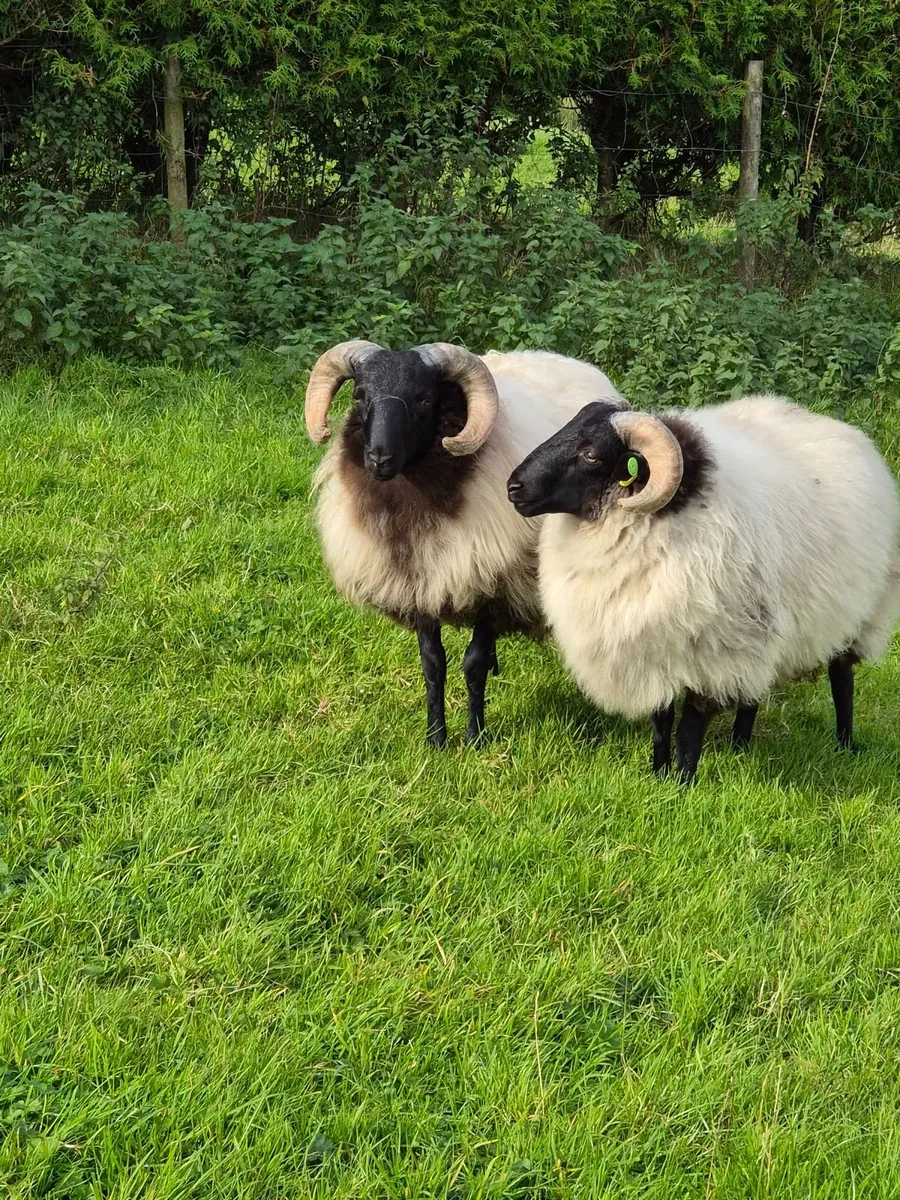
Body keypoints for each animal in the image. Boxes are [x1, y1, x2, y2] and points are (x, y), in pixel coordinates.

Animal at [305, 340, 627, 745]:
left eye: (424, 398)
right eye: (360, 395)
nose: (379, 458)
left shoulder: (496, 588)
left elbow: (472, 664)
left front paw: (475, 737)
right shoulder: (421, 585)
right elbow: (432, 665)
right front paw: (436, 738)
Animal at [506, 394, 900, 781]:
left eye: (591, 454)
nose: (513, 487)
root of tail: (845, 431)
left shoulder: (715, 656)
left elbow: (689, 727)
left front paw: (684, 783)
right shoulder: (655, 651)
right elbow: (661, 723)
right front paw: (659, 777)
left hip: (856, 616)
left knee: (842, 679)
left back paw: (845, 743)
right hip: (763, 631)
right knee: (753, 693)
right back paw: (740, 746)